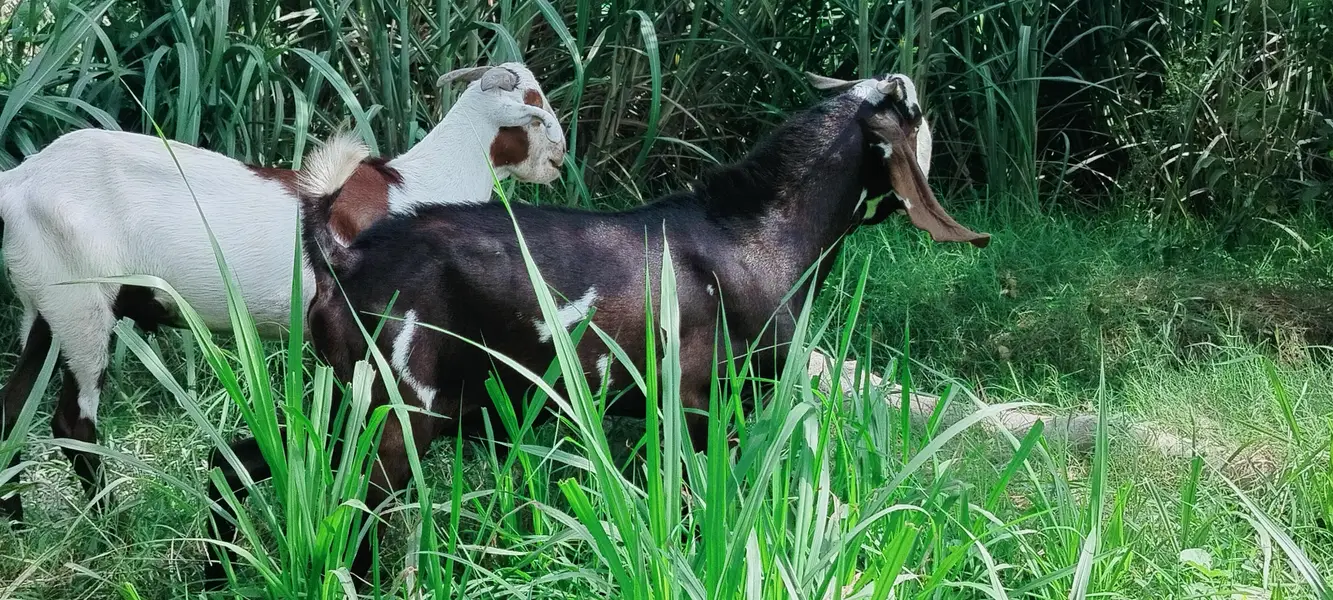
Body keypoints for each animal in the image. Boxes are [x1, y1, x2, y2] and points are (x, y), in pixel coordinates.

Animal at [0, 63, 567, 525]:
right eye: (535, 109)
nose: (562, 156)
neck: (421, 183)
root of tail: (19, 180)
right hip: (81, 306)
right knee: (73, 421)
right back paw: (110, 524)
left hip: (41, 307)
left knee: (12, 410)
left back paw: (18, 521)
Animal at [205, 72, 988, 584]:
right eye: (918, 116)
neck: (755, 234)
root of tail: (344, 254)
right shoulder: (705, 410)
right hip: (396, 414)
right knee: (353, 520)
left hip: (338, 396)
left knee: (230, 461)